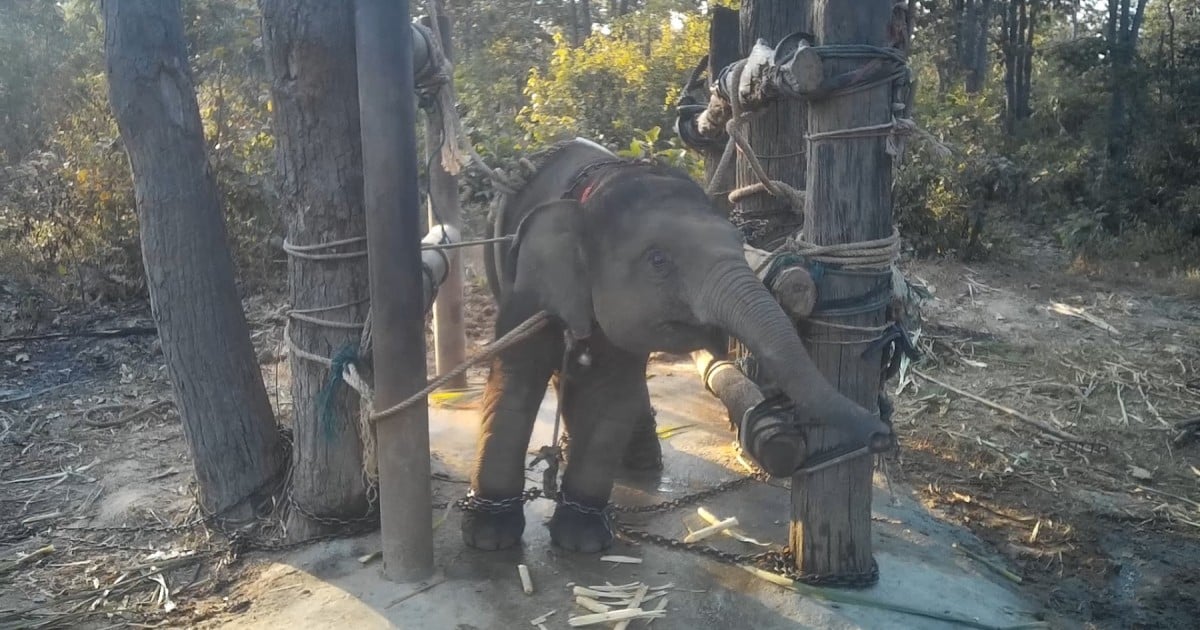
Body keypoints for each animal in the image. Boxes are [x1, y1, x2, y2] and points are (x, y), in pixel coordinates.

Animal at [463, 137, 892, 553]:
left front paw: (583, 539)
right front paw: (491, 536)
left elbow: (612, 395)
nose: (881, 435)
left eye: (741, 243)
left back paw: (639, 461)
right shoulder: (528, 286)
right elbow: (516, 380)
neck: (598, 190)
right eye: (658, 260)